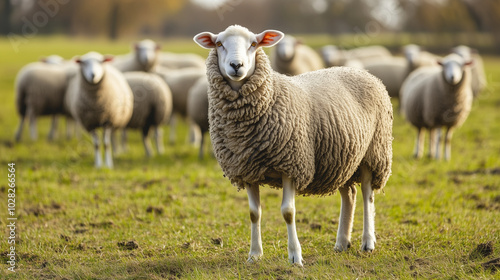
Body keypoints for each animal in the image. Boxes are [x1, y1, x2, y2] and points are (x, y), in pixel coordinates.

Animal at [193, 25, 392, 266]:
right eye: (219, 44)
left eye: (253, 44)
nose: (236, 66)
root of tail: (361, 71)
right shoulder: (246, 168)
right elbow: (254, 213)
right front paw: (254, 255)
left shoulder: (291, 165)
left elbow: (288, 212)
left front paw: (295, 256)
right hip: (343, 157)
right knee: (350, 194)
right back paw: (342, 243)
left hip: (374, 152)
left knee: (366, 194)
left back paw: (368, 242)